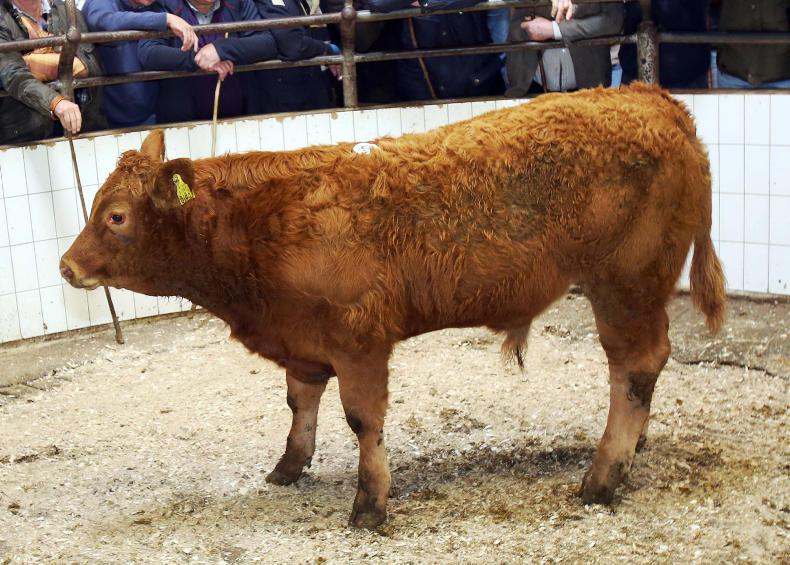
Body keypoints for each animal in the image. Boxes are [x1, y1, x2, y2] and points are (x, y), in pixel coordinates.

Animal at [60, 83, 726, 529]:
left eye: (115, 216)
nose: (66, 267)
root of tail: (650, 96)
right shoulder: (302, 339)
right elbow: (300, 403)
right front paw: (289, 467)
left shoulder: (358, 338)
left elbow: (363, 420)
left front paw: (369, 503)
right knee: (645, 370)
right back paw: (633, 448)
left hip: (625, 282)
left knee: (634, 366)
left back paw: (602, 477)